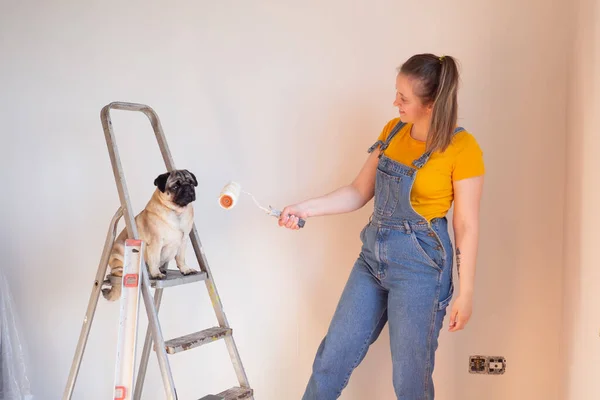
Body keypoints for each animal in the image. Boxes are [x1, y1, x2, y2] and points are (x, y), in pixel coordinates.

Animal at [102, 167, 198, 302]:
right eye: (175, 187)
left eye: (191, 183)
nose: (188, 188)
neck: (176, 212)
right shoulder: (155, 243)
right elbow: (154, 259)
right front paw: (156, 273)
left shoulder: (183, 241)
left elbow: (181, 258)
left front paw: (185, 269)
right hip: (119, 256)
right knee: (115, 273)